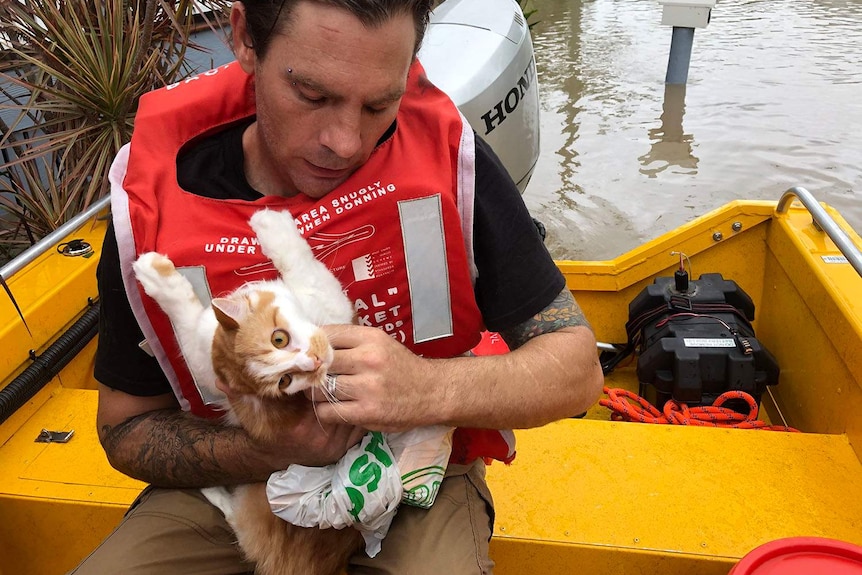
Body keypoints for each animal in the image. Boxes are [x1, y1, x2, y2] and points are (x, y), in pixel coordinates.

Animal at [134, 210, 362, 575]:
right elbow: (185, 316)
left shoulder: (331, 304)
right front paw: (157, 275)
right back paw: (211, 488)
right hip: (255, 498)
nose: (313, 362)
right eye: (286, 381)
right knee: (242, 529)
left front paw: (269, 224)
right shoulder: (203, 360)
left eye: (279, 338)